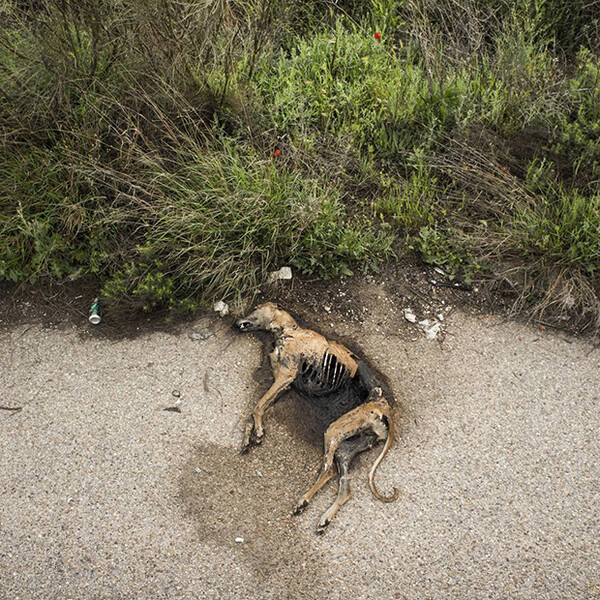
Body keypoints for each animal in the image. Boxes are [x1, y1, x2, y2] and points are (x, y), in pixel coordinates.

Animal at [234, 302, 398, 532]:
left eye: (256, 308)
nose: (236, 322)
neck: (290, 330)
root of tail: (385, 409)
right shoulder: (283, 385)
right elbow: (257, 409)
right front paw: (249, 436)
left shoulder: (285, 375)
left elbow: (257, 407)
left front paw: (257, 433)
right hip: (346, 448)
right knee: (345, 488)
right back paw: (325, 518)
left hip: (334, 430)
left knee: (328, 472)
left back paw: (303, 501)